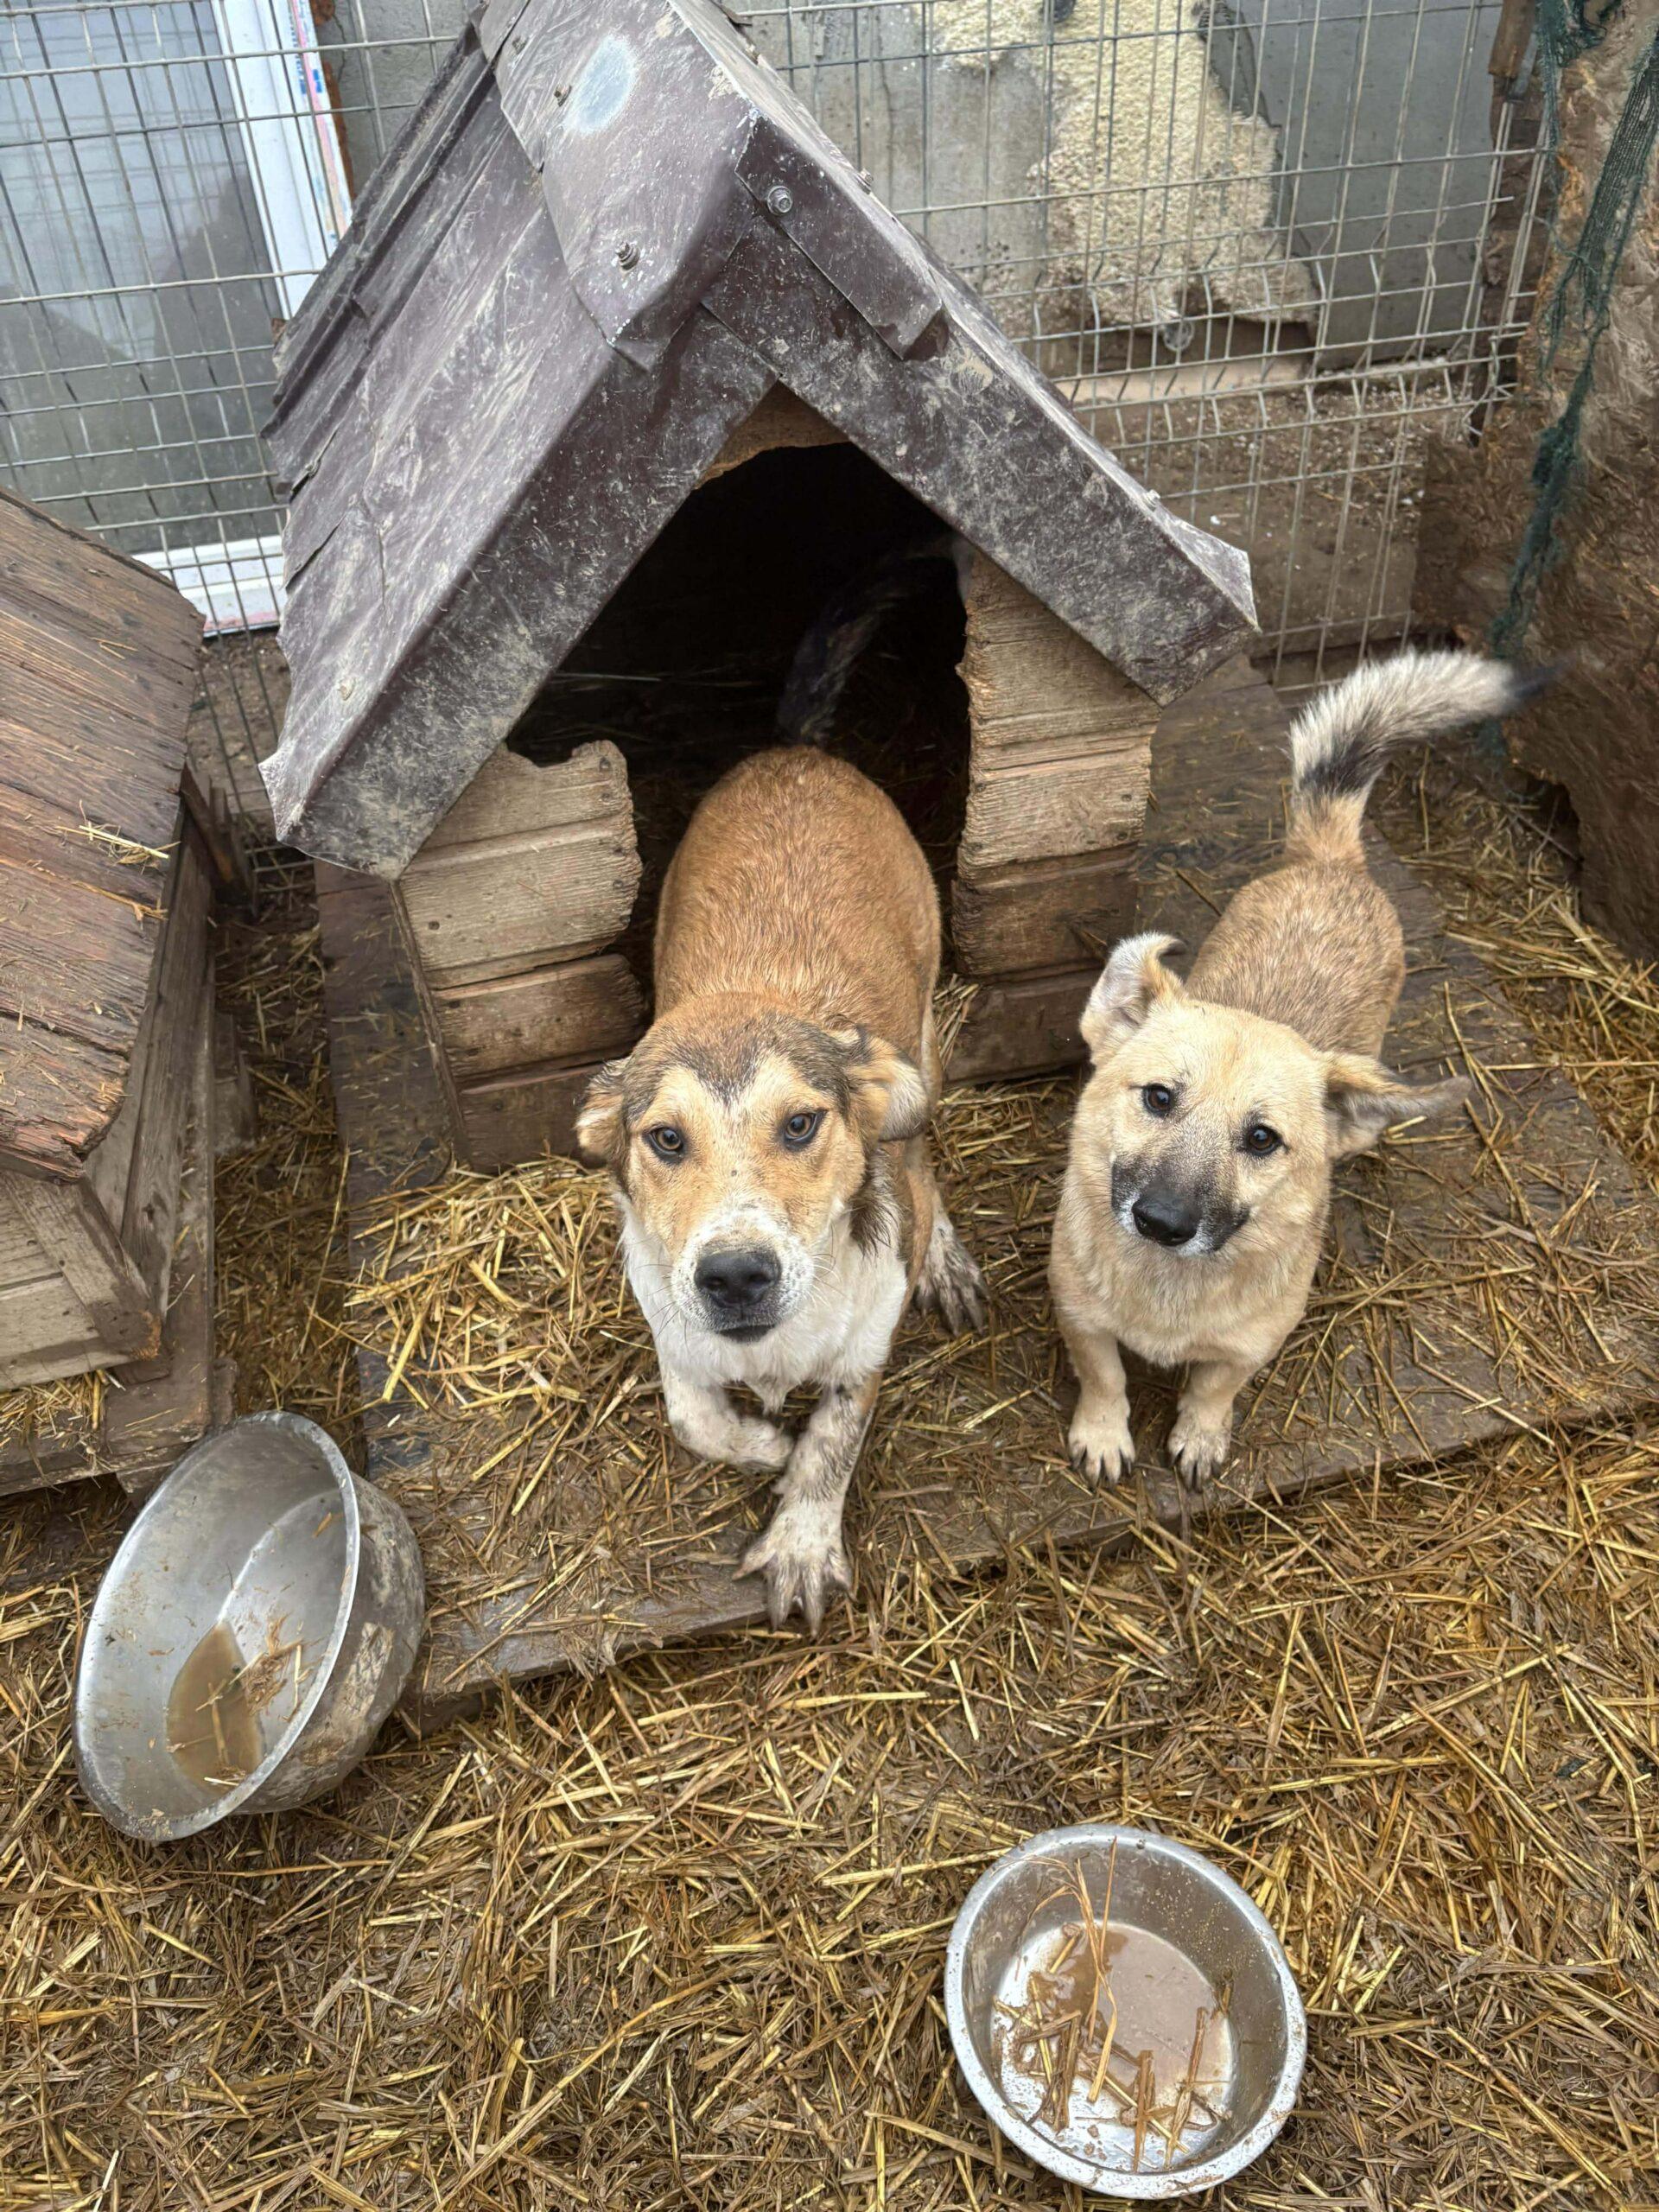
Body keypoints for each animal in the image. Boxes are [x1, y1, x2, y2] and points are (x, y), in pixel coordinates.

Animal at [576, 744, 986, 1629]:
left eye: (800, 1124)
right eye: (666, 1138)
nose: (735, 1276)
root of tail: (796, 753)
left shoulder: (868, 1340)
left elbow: (833, 1443)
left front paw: (801, 1541)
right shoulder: (669, 1321)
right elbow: (694, 1417)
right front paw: (766, 1447)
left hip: (923, 1055)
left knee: (922, 1158)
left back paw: (946, 1259)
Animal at [1050, 650, 1541, 1488]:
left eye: (1262, 1140)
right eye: (1158, 1097)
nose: (1162, 1222)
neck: (1166, 1295)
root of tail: (1330, 860)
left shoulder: (1249, 1347)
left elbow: (1212, 1390)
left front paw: (1200, 1437)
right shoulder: (1080, 1317)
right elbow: (1105, 1376)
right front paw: (1105, 1434)